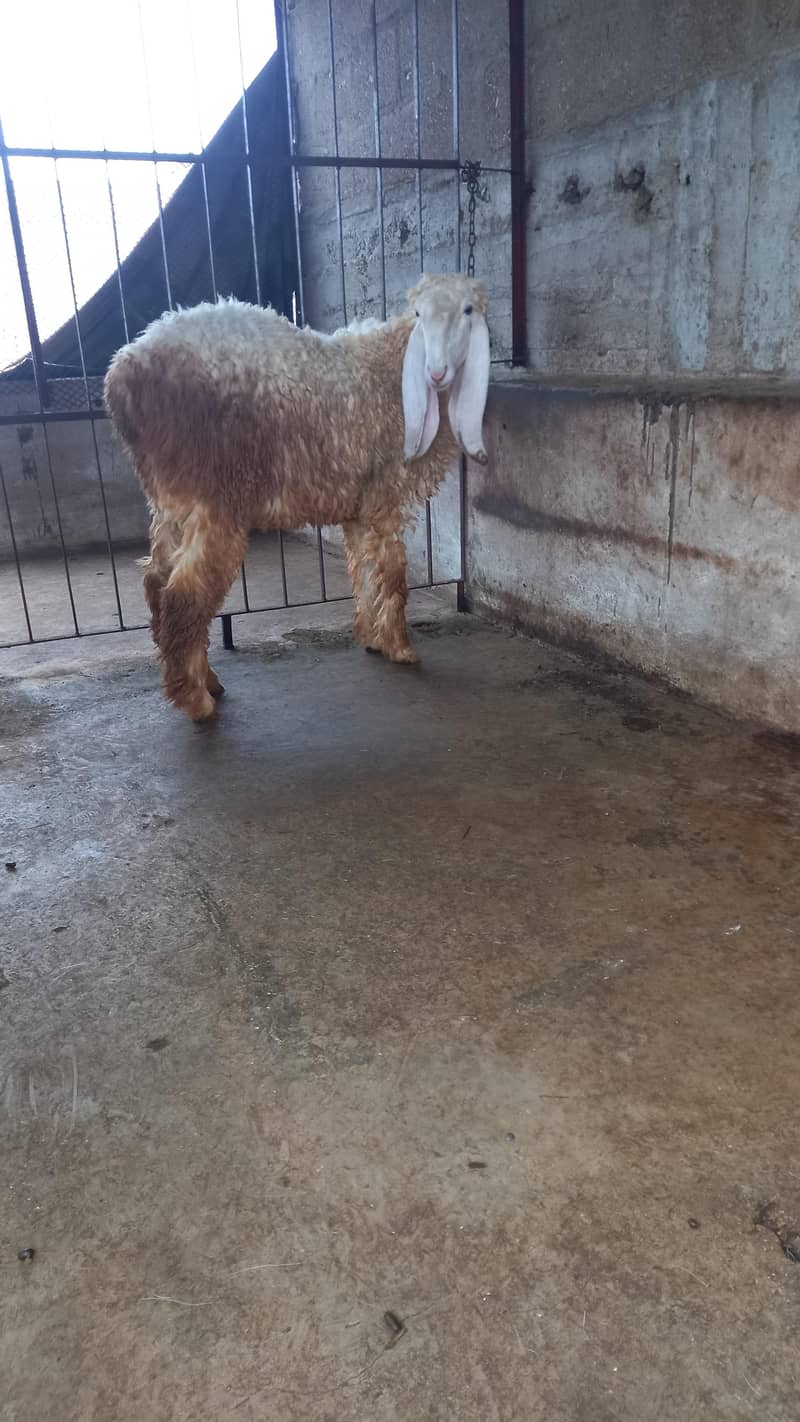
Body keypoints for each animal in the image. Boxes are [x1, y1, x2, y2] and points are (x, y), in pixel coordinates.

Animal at [104, 272, 490, 721]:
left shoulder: (360, 507)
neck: (390, 366)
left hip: (170, 500)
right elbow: (393, 573)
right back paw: (196, 699)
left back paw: (204, 681)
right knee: (183, 593)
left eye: (468, 311)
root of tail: (123, 373)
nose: (438, 372)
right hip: (214, 497)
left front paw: (371, 636)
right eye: (419, 314)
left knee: (156, 580)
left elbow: (364, 570)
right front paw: (401, 647)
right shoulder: (385, 495)